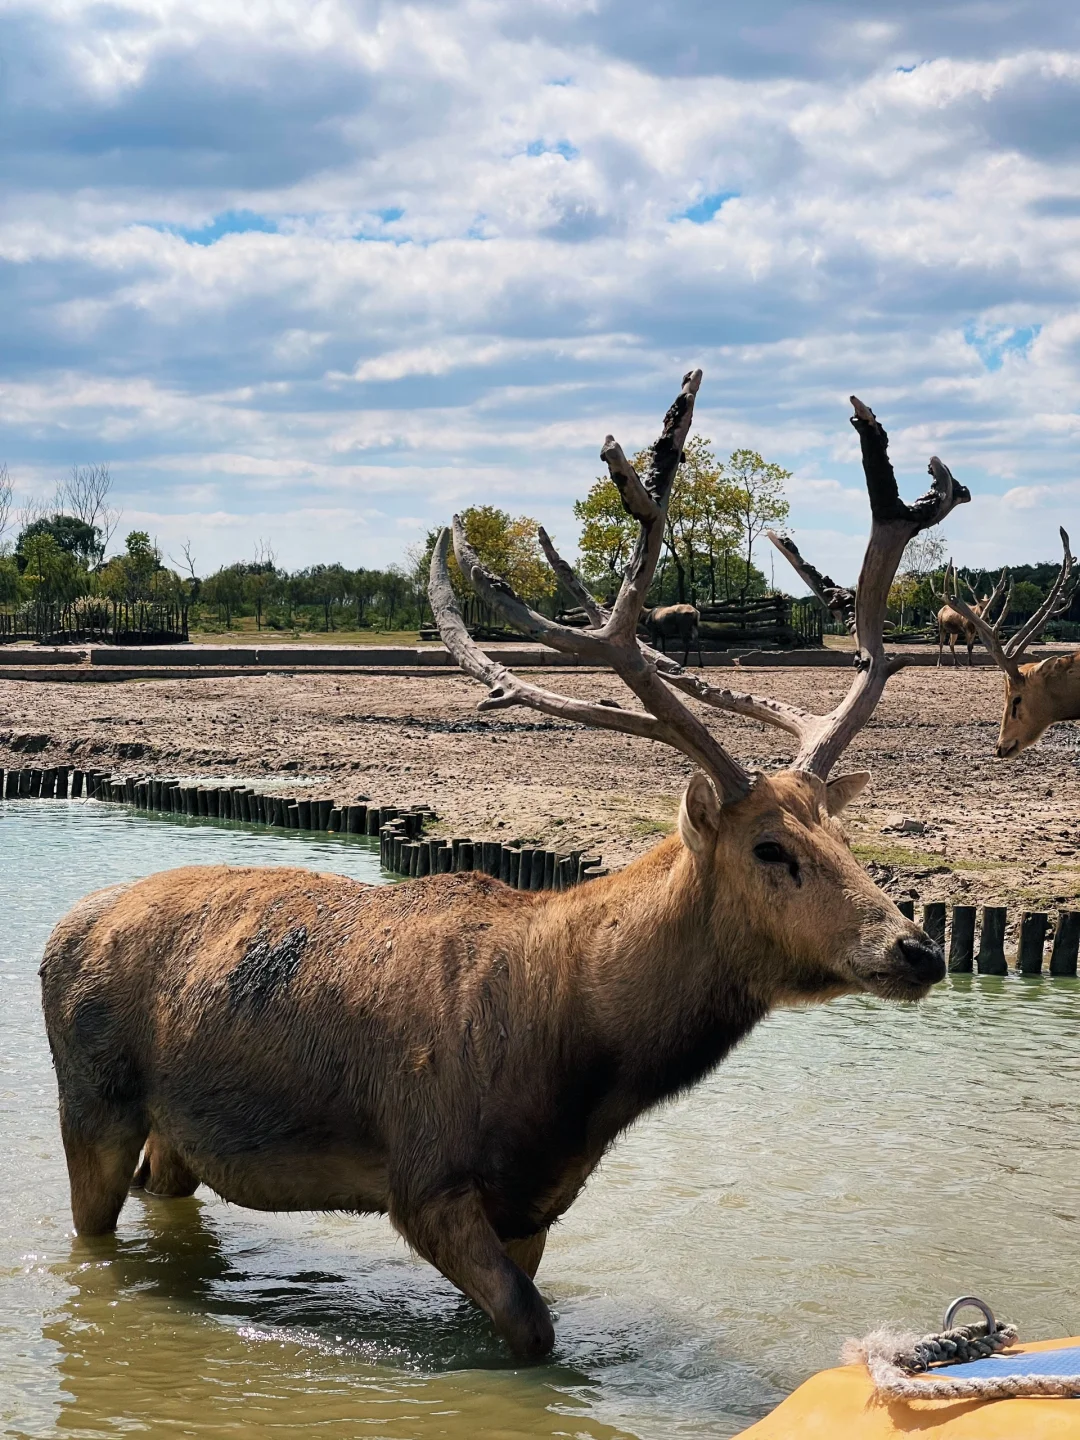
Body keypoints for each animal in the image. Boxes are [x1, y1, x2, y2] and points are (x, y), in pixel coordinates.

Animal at [40, 376, 961, 1361]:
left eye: (843, 835)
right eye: (770, 848)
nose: (917, 949)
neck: (573, 1059)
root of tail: (57, 935)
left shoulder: (536, 1203)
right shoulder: (425, 1178)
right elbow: (533, 1330)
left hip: (178, 1135)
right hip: (89, 1099)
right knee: (89, 1224)